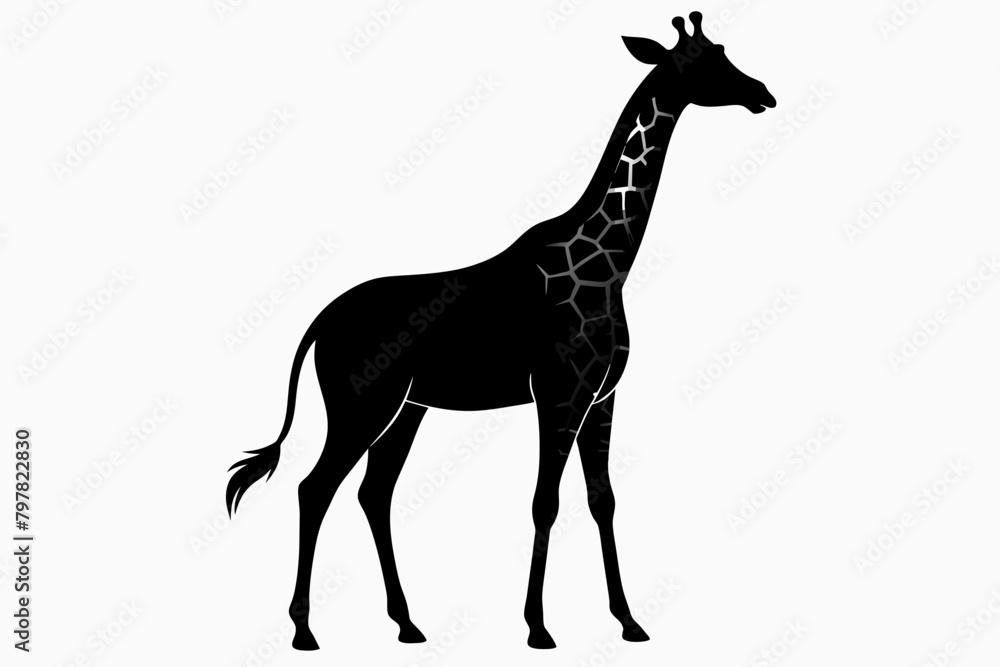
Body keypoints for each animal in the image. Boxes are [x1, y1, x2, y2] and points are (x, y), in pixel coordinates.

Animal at [226, 12, 774, 650]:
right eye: (703, 63)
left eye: (722, 51)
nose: (763, 94)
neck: (612, 260)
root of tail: (319, 322)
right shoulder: (559, 392)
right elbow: (546, 502)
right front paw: (538, 627)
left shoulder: (602, 396)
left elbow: (603, 500)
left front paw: (629, 621)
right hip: (361, 404)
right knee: (315, 489)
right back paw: (304, 631)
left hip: (406, 408)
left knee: (373, 493)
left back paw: (407, 623)